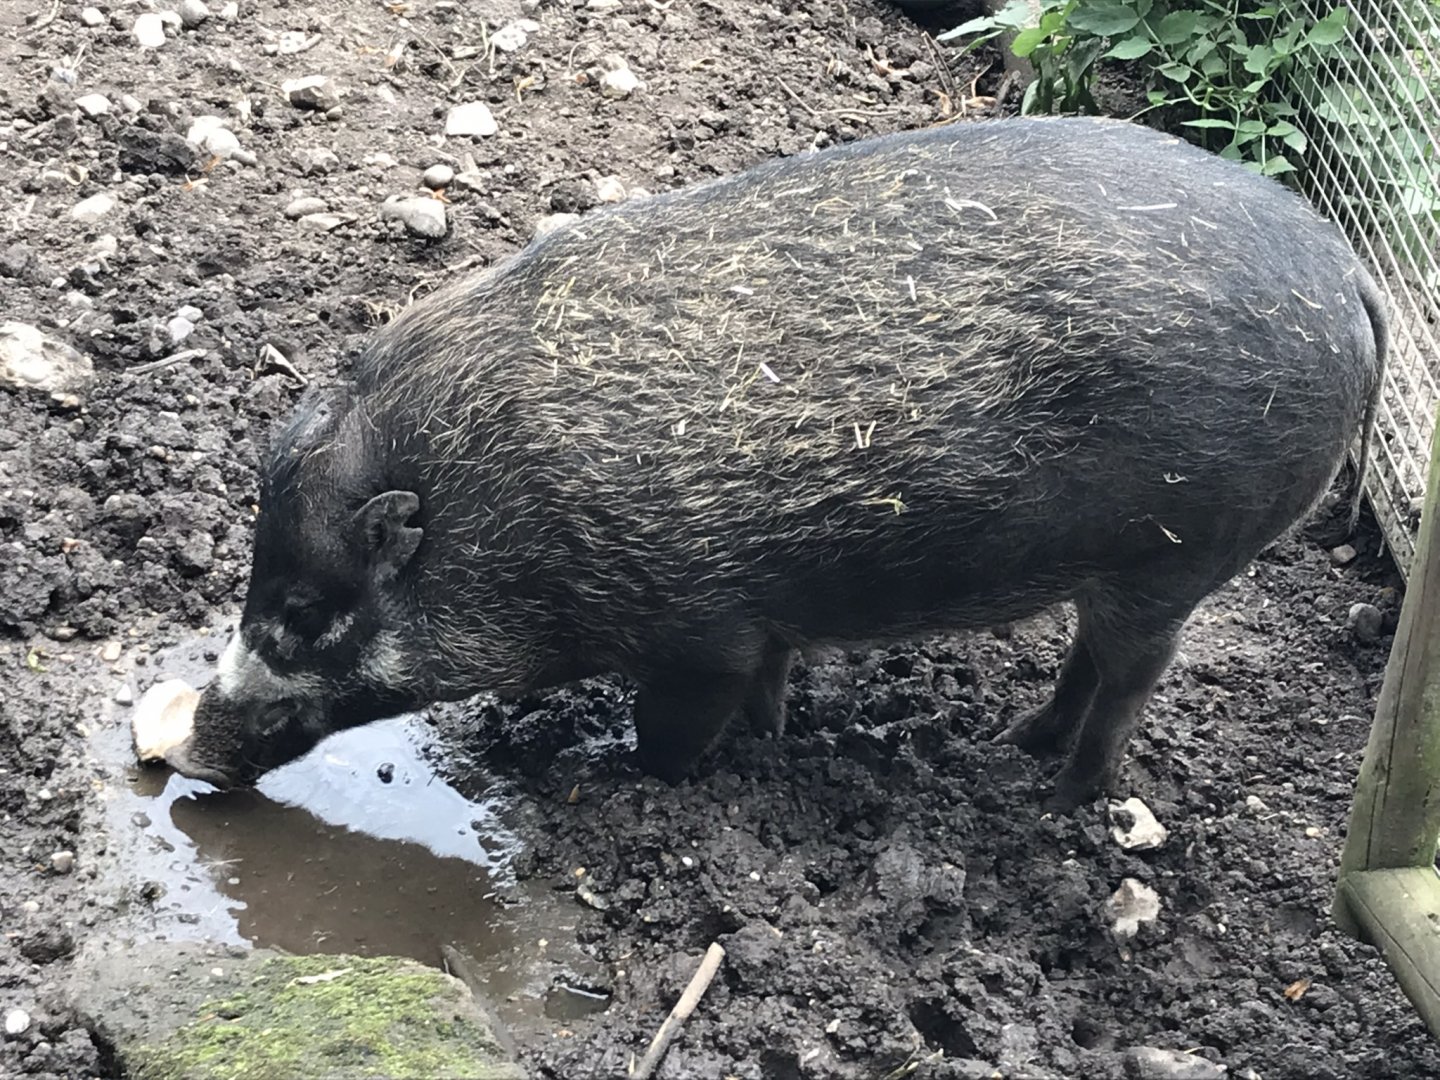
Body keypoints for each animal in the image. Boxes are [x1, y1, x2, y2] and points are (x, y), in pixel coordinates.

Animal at [164, 116, 1388, 811]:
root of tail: (1353, 276)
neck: (495, 502)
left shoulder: (701, 629)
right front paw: (774, 743)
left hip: (1182, 555)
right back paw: (1020, 746)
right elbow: (766, 699)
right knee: (1088, 659)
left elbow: (672, 733)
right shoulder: (760, 626)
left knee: (1132, 679)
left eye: (304, 613)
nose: (184, 759)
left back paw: (1059, 803)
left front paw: (627, 780)